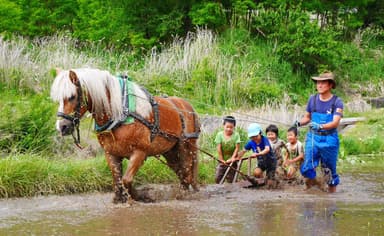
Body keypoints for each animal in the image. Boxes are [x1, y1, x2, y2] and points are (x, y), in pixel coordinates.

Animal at [50, 68, 201, 203]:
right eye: (58, 99)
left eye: (72, 97)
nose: (62, 126)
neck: (120, 114)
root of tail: (187, 106)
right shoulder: (111, 153)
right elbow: (118, 182)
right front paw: (121, 198)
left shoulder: (140, 152)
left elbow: (126, 180)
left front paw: (140, 196)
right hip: (169, 151)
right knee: (181, 172)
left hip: (185, 146)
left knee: (186, 172)